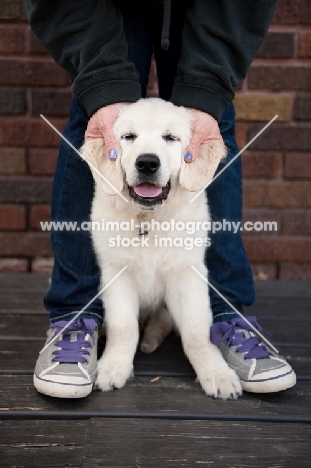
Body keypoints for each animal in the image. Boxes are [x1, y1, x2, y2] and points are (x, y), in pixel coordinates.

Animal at [82, 98, 244, 398]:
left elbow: (196, 329)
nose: (147, 162)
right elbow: (123, 326)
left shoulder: (187, 272)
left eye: (170, 138)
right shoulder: (116, 273)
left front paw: (216, 373)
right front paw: (113, 367)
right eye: (129, 137)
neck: (148, 219)